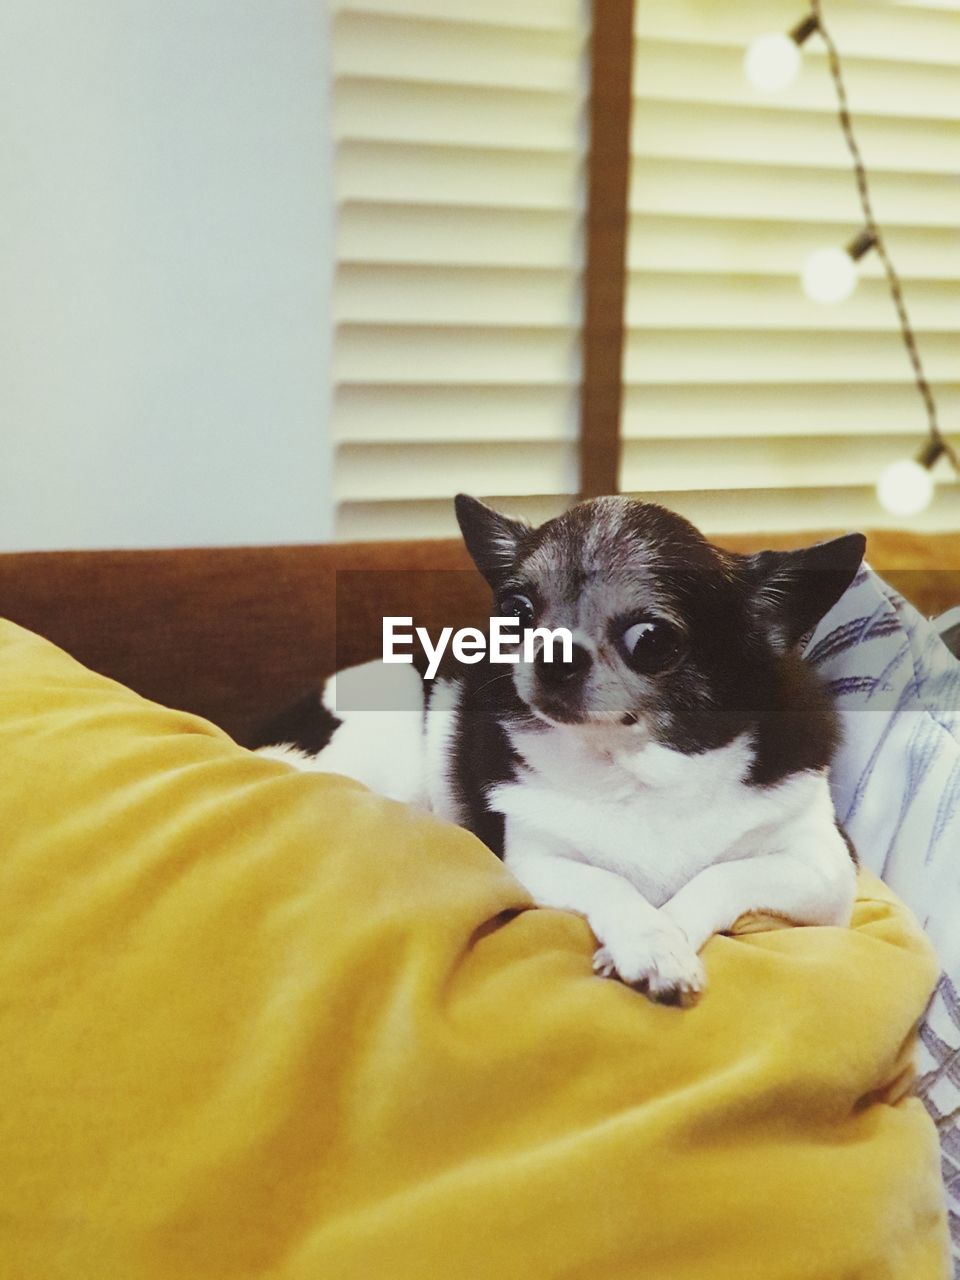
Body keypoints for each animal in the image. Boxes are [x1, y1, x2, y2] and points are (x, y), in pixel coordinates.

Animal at [253, 494, 865, 1003]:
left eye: (652, 640)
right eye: (517, 611)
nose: (553, 651)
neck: (636, 767)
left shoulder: (825, 870)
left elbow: (721, 875)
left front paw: (666, 937)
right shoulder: (535, 862)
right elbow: (609, 880)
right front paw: (649, 939)